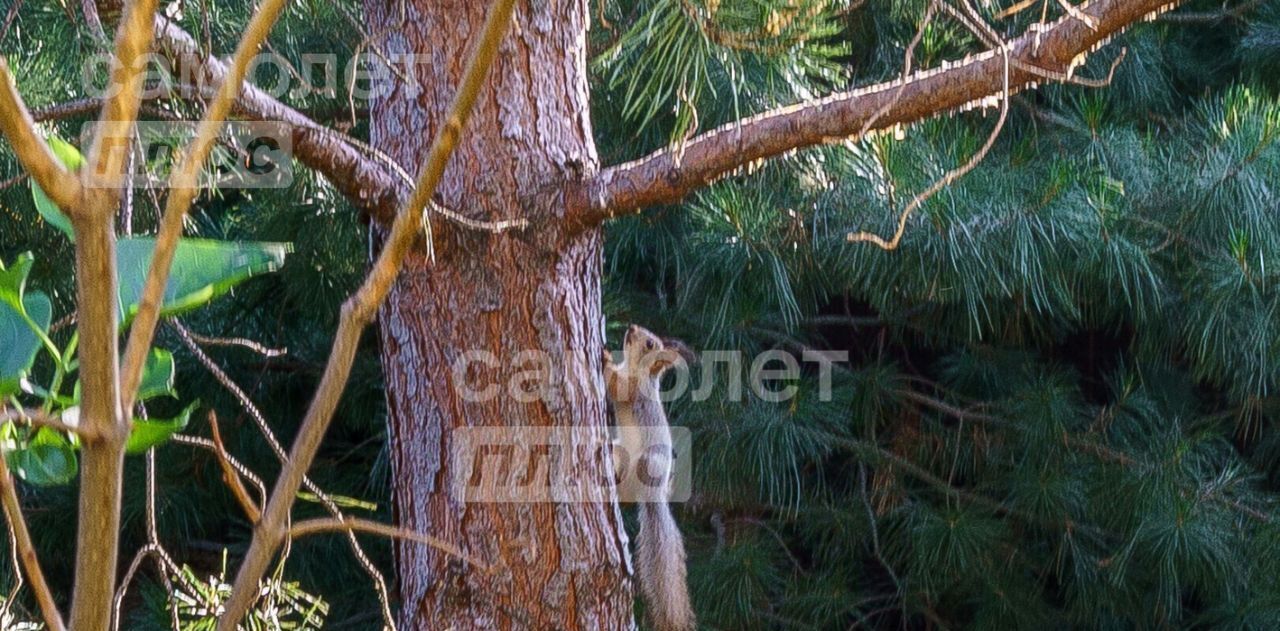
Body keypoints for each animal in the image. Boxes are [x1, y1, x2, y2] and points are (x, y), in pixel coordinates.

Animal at [601, 325, 696, 629]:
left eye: (650, 344)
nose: (631, 327)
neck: (634, 368)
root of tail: (653, 495)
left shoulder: (632, 390)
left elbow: (617, 386)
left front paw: (605, 358)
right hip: (620, 453)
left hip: (648, 463)